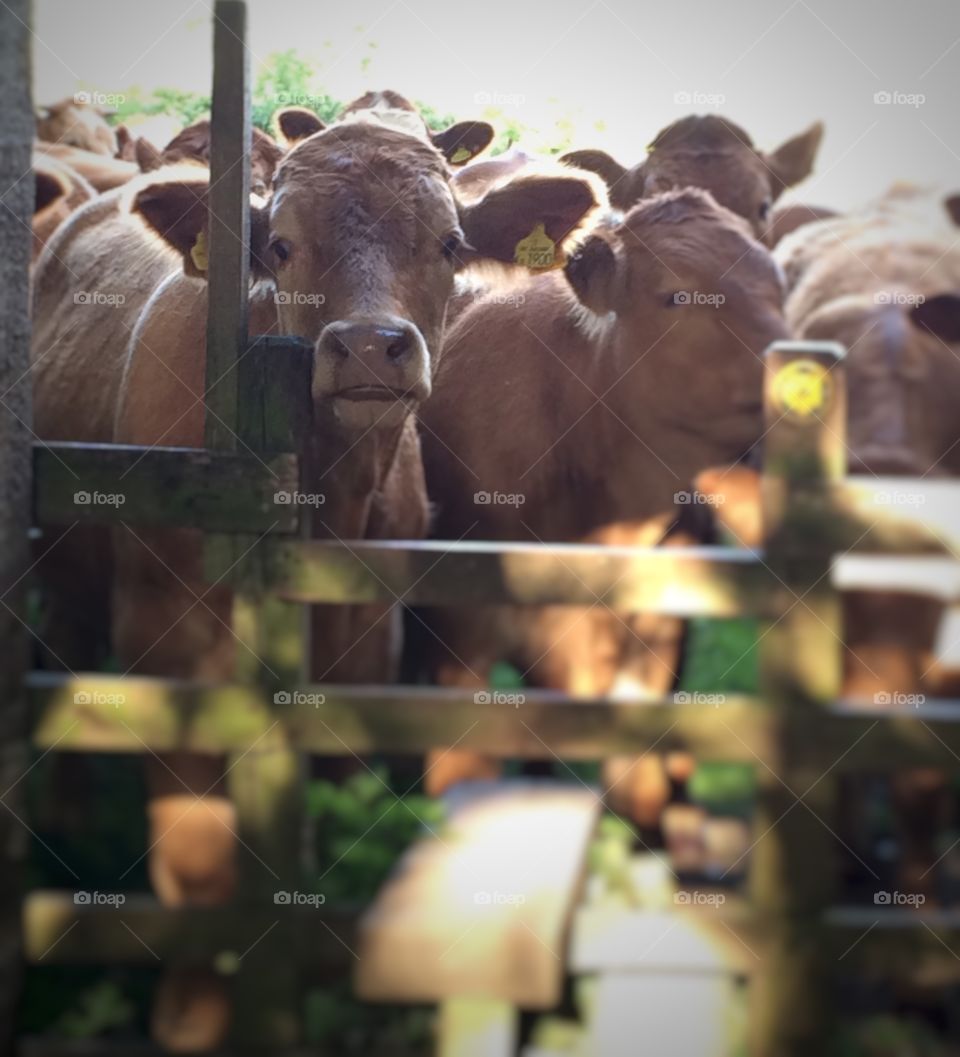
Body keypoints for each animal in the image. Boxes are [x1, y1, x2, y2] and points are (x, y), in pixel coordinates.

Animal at [33, 123, 604, 1048]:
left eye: (450, 244)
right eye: (279, 245)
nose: (370, 345)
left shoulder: (365, 644)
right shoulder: (167, 643)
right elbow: (195, 847)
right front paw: (193, 1012)